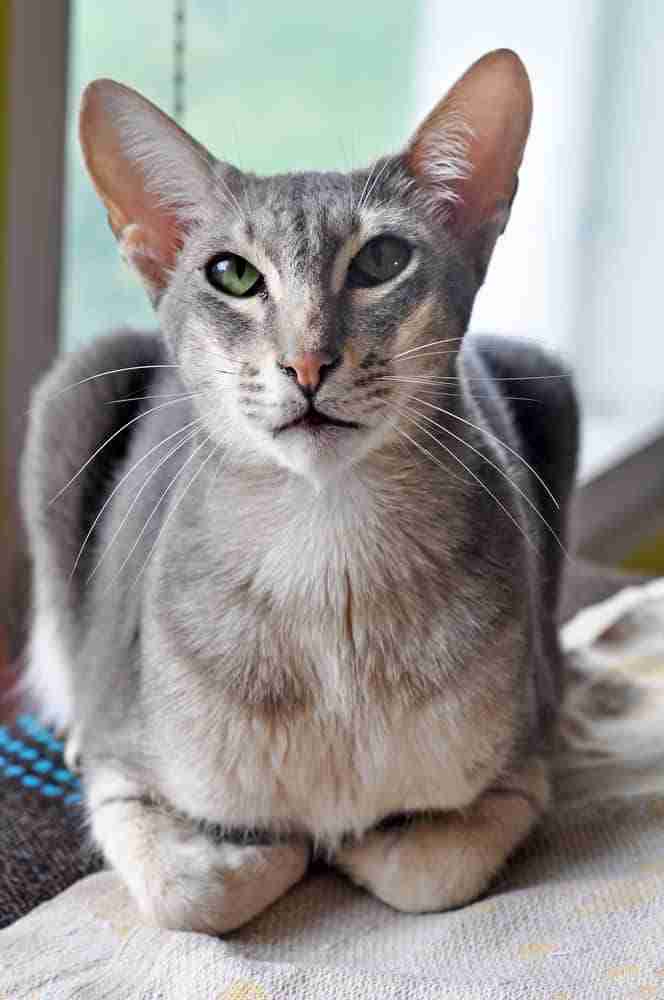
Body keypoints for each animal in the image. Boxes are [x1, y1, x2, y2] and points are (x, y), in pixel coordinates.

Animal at [22, 50, 576, 932]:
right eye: (233, 274)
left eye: (382, 261)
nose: (308, 363)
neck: (327, 561)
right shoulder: (122, 774)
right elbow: (195, 892)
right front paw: (278, 843)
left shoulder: (528, 763)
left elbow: (431, 872)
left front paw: (359, 842)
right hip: (74, 389)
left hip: (545, 377)